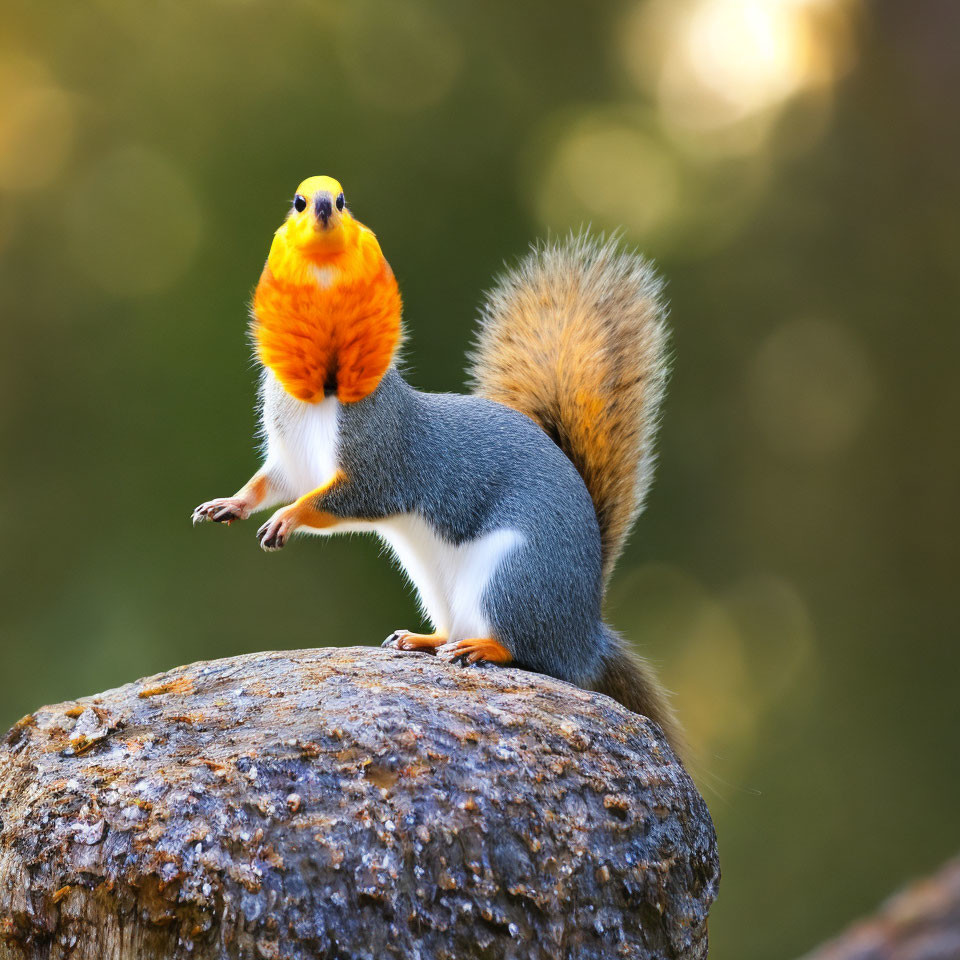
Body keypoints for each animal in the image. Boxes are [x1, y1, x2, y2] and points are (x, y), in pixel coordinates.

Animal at [191, 178, 680, 752]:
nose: (322, 211)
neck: (319, 400)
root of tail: (585, 633)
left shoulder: (383, 455)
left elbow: (347, 495)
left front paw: (288, 518)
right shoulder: (293, 457)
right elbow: (275, 481)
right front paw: (232, 503)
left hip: (515, 575)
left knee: (529, 653)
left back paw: (482, 649)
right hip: (437, 584)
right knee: (461, 627)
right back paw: (425, 639)